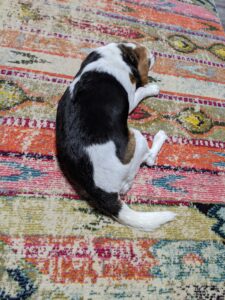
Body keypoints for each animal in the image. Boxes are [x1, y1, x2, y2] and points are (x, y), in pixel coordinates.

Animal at [55, 41, 176, 230]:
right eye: (148, 60)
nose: (155, 55)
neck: (119, 53)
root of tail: (102, 191)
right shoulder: (131, 99)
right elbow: (140, 92)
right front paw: (151, 88)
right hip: (137, 138)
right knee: (149, 159)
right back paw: (160, 136)